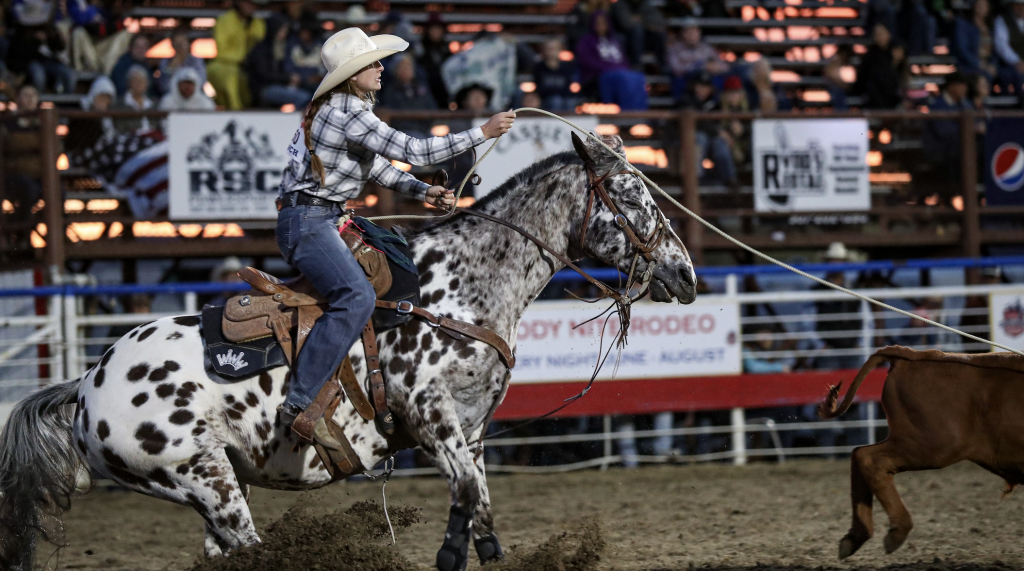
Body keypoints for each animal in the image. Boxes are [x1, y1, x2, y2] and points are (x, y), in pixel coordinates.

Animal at [818, 345, 1024, 560]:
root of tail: (915, 355)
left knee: (858, 454)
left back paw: (855, 537)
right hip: (931, 446)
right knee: (867, 458)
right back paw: (897, 531)